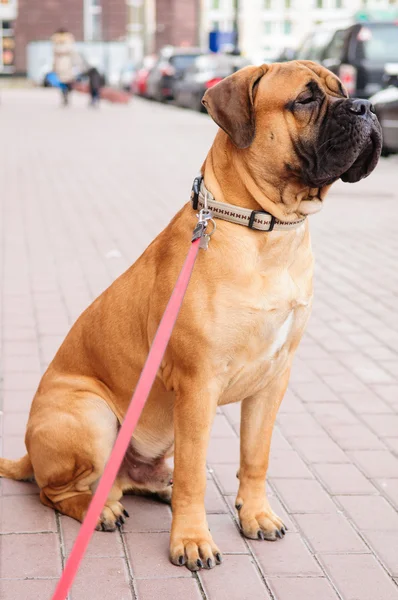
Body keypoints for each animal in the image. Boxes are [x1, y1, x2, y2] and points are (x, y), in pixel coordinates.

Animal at [0, 61, 382, 572]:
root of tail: (27, 452)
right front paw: (192, 540)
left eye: (344, 88)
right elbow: (194, 477)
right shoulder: (198, 384)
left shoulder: (273, 380)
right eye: (305, 99)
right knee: (54, 491)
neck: (266, 229)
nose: (367, 106)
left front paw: (255, 514)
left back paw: (150, 485)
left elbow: (256, 456)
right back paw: (100, 508)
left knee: (136, 476)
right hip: (91, 415)